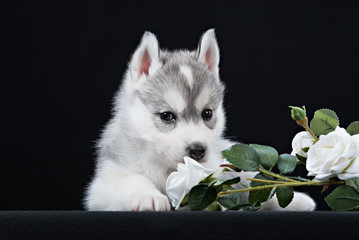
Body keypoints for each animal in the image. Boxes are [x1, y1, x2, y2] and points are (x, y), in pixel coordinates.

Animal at [83, 29, 316, 211]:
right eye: (166, 116)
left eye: (207, 114)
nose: (197, 150)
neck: (166, 167)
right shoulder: (103, 184)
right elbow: (131, 180)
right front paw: (149, 196)